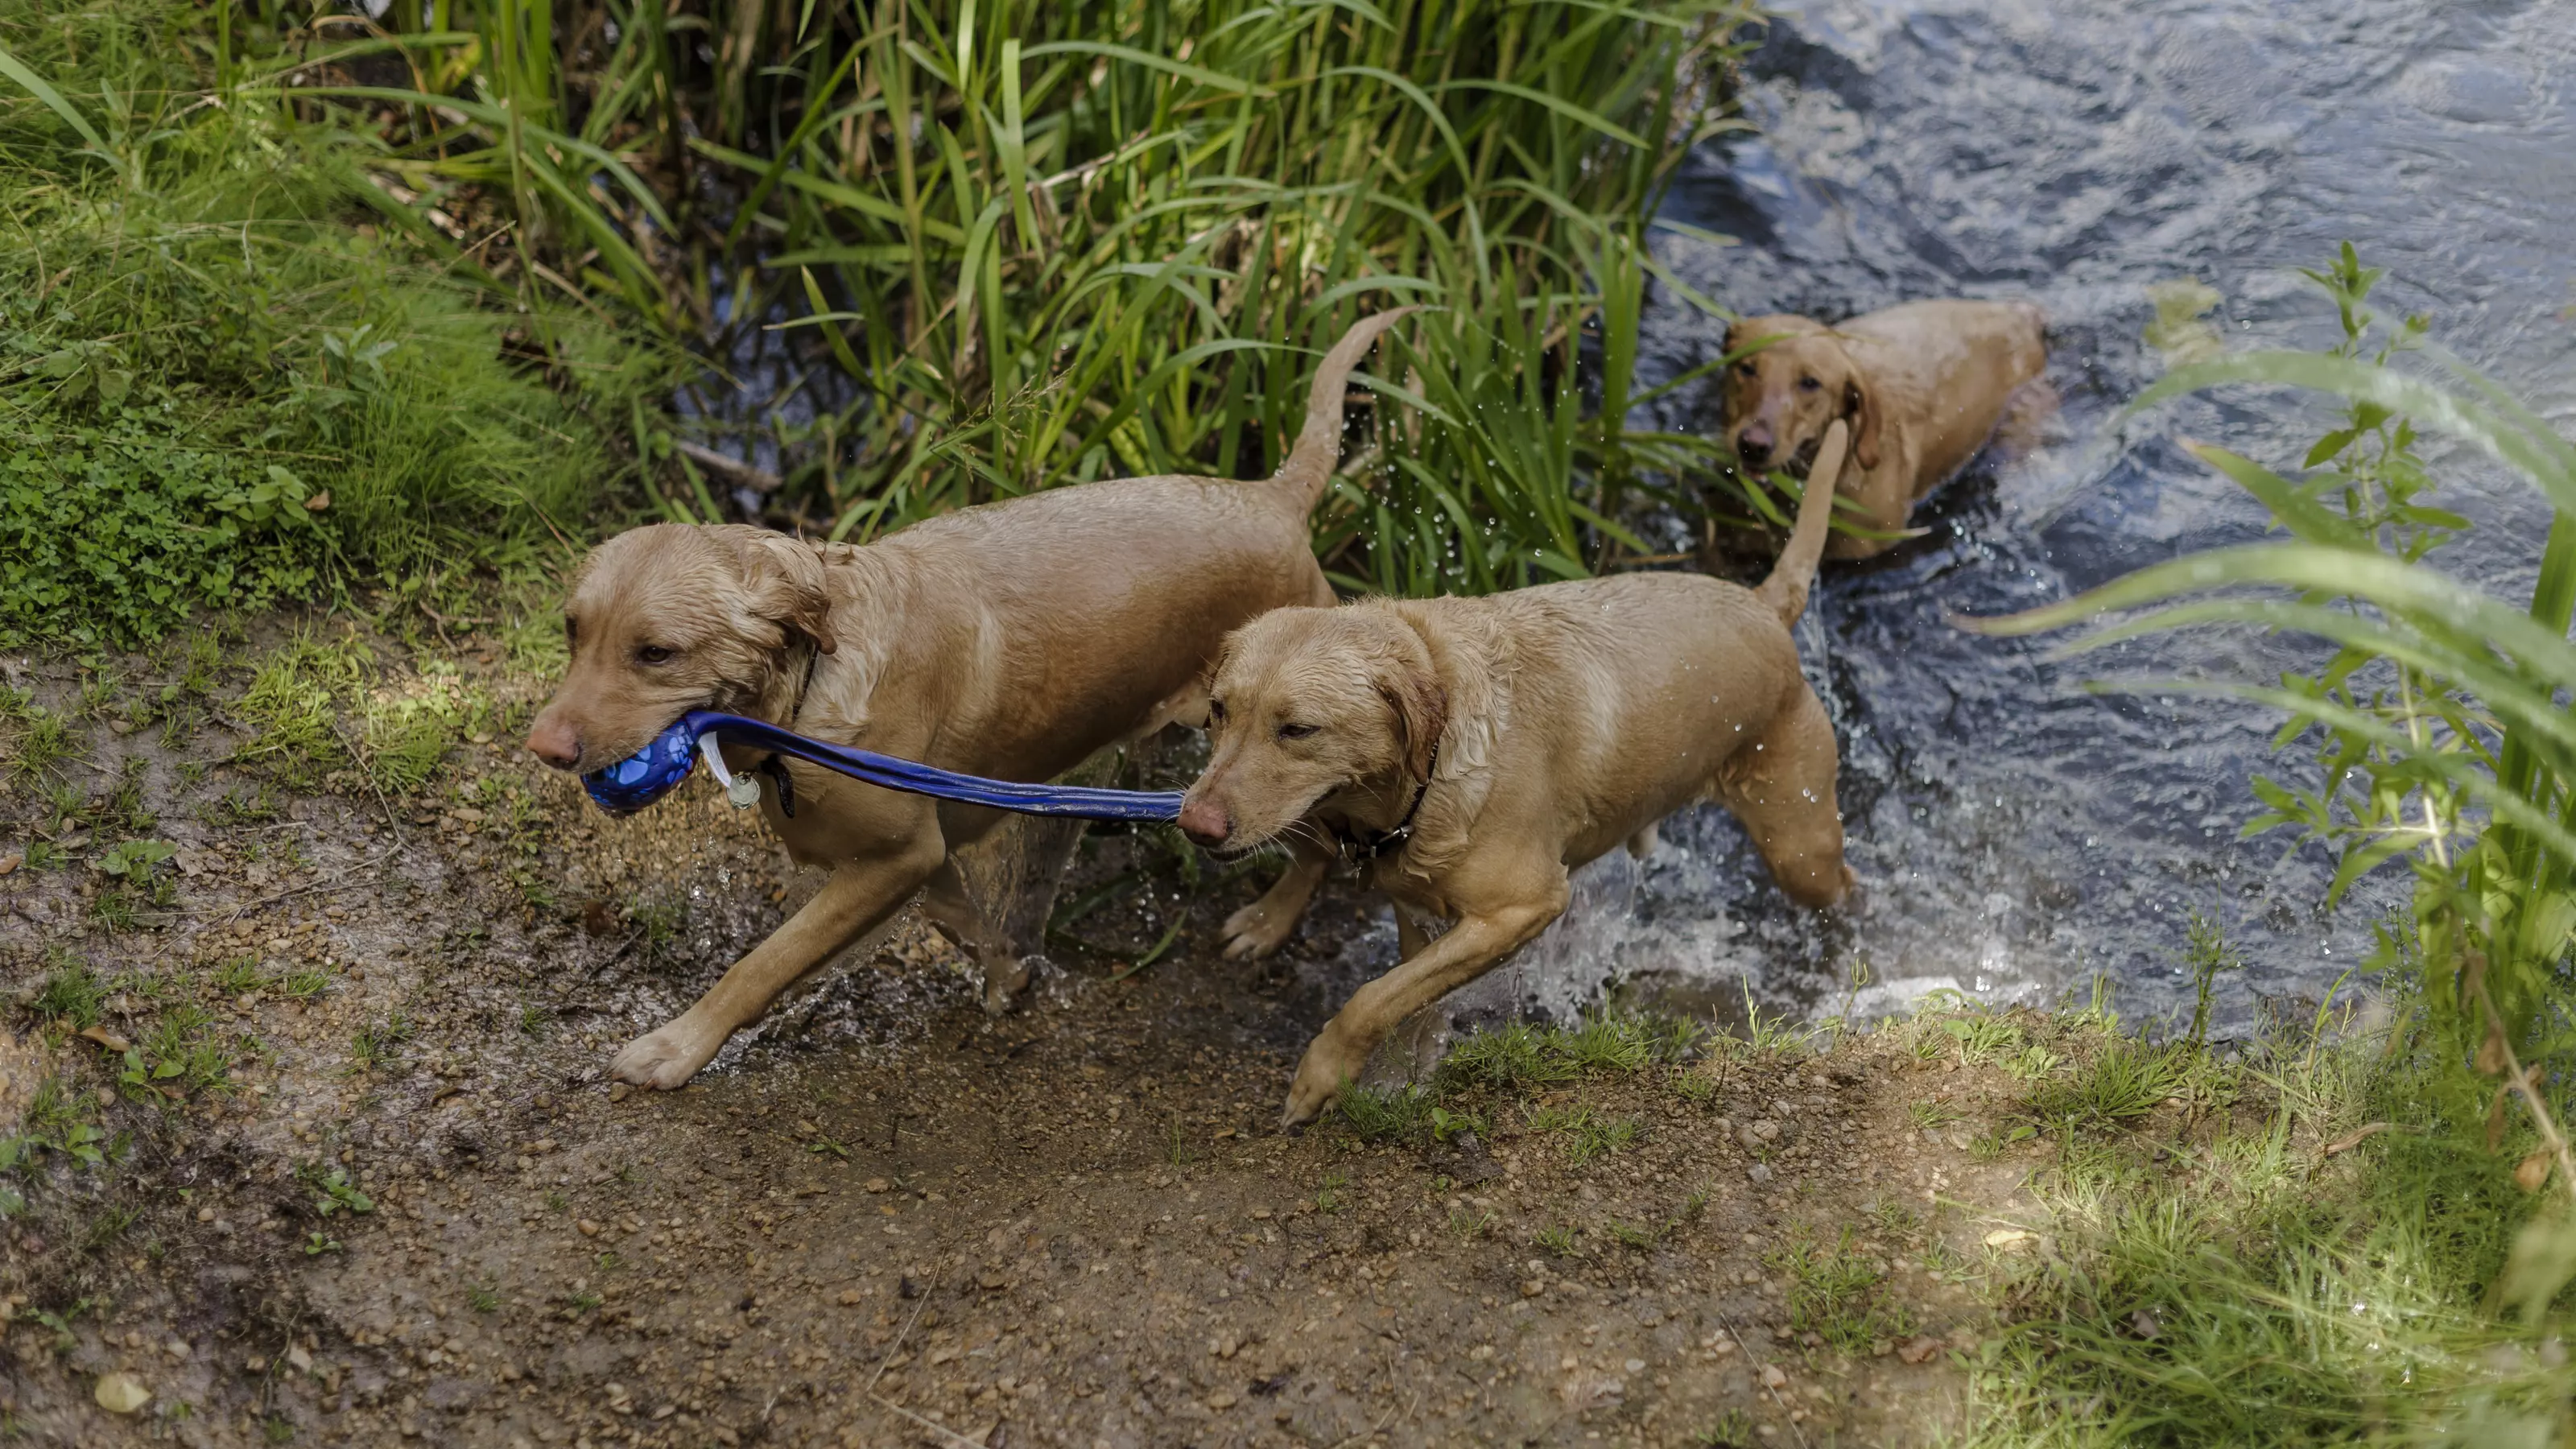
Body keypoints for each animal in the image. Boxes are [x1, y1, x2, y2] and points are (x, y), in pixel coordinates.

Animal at [522, 310, 1411, 1088]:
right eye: (572, 631)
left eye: (656, 653)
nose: (544, 749)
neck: (808, 694)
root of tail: (1275, 497)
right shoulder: (923, 850)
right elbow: (959, 918)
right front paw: (1006, 970)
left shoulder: (895, 857)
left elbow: (764, 963)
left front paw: (674, 1047)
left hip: (1282, 761)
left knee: (1315, 853)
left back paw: (1265, 924)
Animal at [1179, 423, 1864, 1124]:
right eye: (1218, 711)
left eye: (1297, 730)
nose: (1193, 824)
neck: (1431, 771)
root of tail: (1763, 606)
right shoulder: (1417, 910)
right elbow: (1405, 1001)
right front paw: (1397, 1076)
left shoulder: (1524, 905)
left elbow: (1370, 997)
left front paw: (1321, 1074)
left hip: (1800, 848)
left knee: (1846, 887)